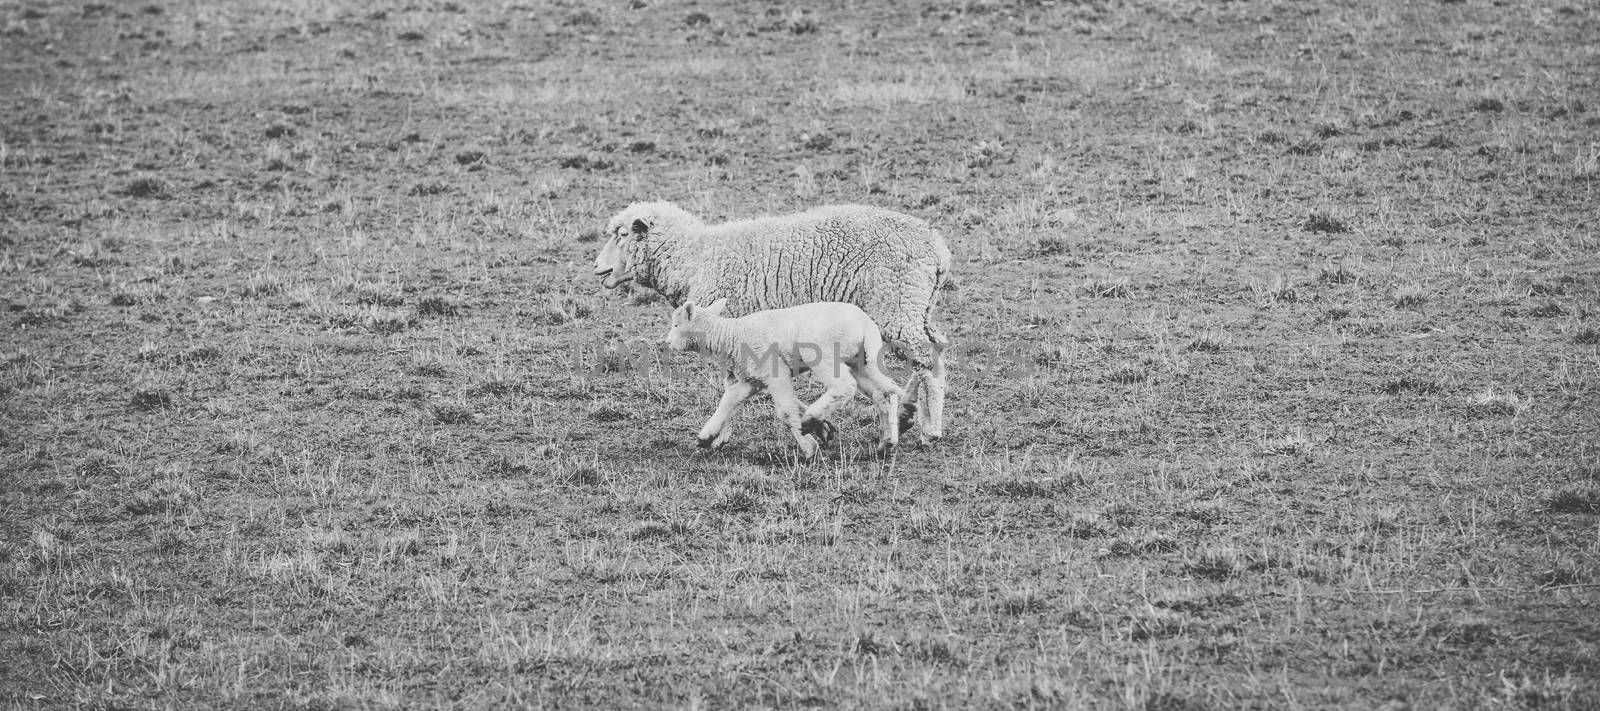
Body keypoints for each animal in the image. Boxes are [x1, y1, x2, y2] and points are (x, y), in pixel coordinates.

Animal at [598, 200, 947, 441]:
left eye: (623, 234)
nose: (598, 269)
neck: (695, 259)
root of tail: (937, 247)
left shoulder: (732, 329)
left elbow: (732, 384)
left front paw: (721, 434)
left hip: (898, 303)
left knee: (926, 359)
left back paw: (930, 428)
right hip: (917, 308)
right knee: (935, 352)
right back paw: (909, 413)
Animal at [662, 297, 908, 457]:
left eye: (676, 324)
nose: (667, 343)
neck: (731, 336)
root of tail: (866, 325)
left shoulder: (775, 372)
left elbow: (786, 411)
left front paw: (809, 448)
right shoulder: (751, 379)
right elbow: (727, 402)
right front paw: (706, 436)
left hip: (822, 352)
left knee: (844, 386)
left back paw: (811, 419)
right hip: (861, 360)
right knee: (884, 392)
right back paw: (887, 442)